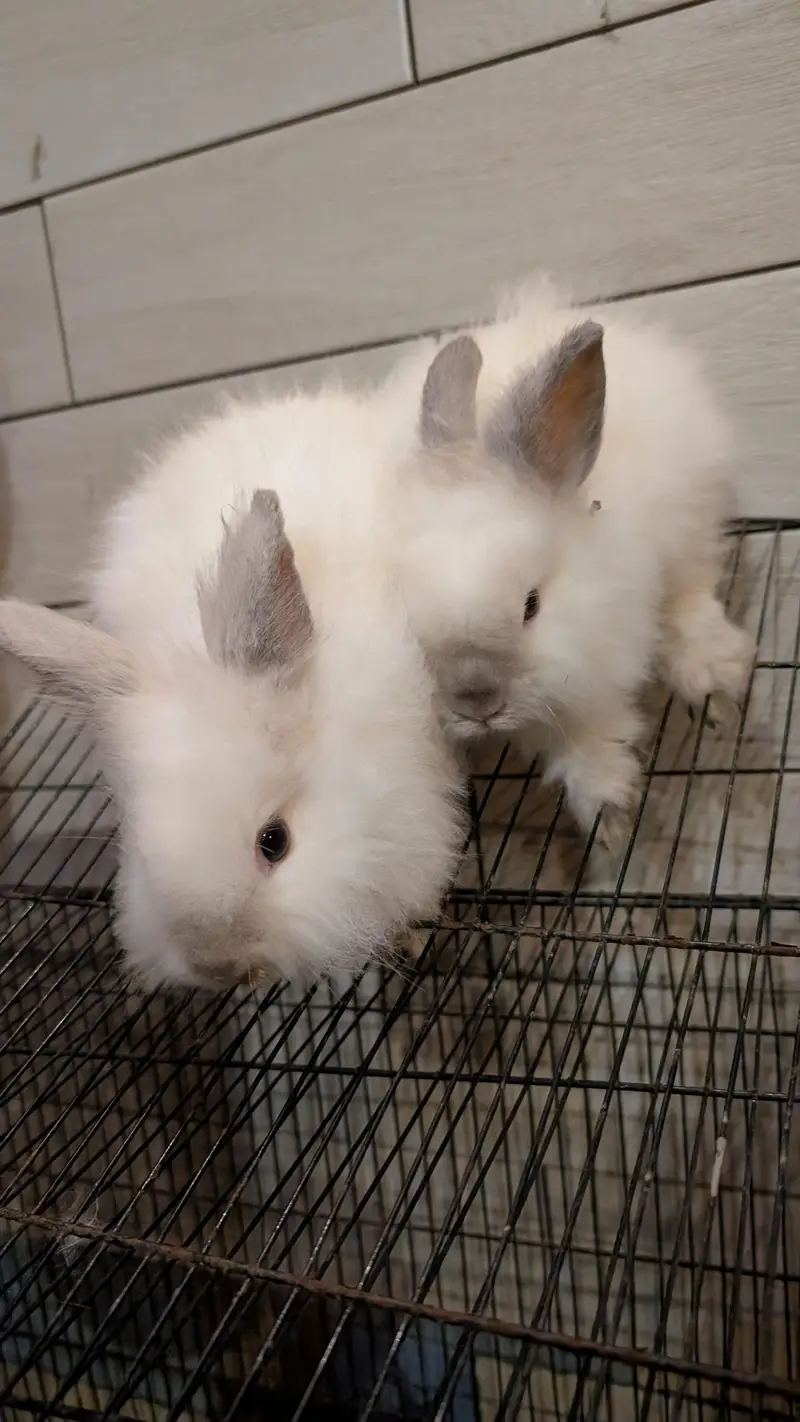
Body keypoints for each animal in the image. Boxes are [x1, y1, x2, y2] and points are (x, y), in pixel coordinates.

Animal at [374, 277, 754, 846]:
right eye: (407, 615)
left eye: (531, 605)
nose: (477, 702)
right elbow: (582, 747)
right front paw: (611, 817)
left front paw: (613, 818)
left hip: (693, 517)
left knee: (691, 594)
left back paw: (711, 678)